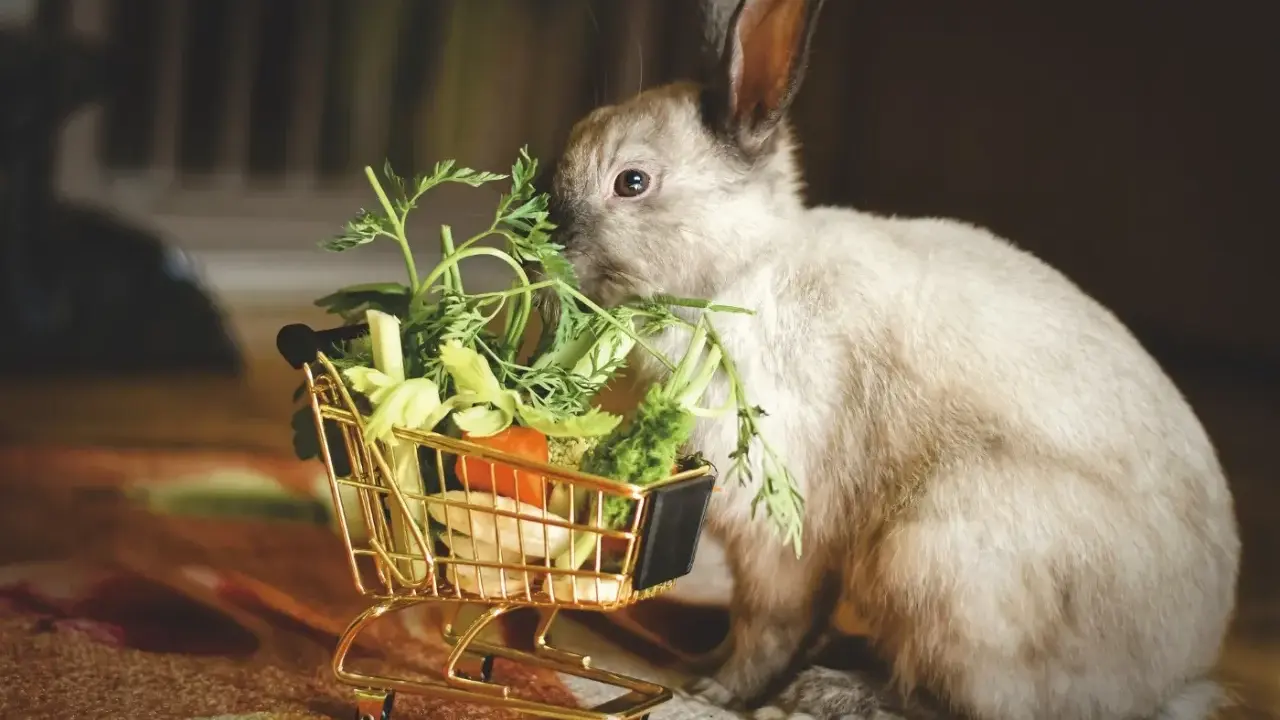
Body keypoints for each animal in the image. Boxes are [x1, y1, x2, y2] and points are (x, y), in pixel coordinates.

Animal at [541, 0, 1241, 718]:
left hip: (936, 561)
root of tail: (1170, 683)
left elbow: (766, 623)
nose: (546, 240)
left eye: (632, 181)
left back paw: (829, 690)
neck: (741, 274)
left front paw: (714, 690)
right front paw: (703, 664)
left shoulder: (782, 532)